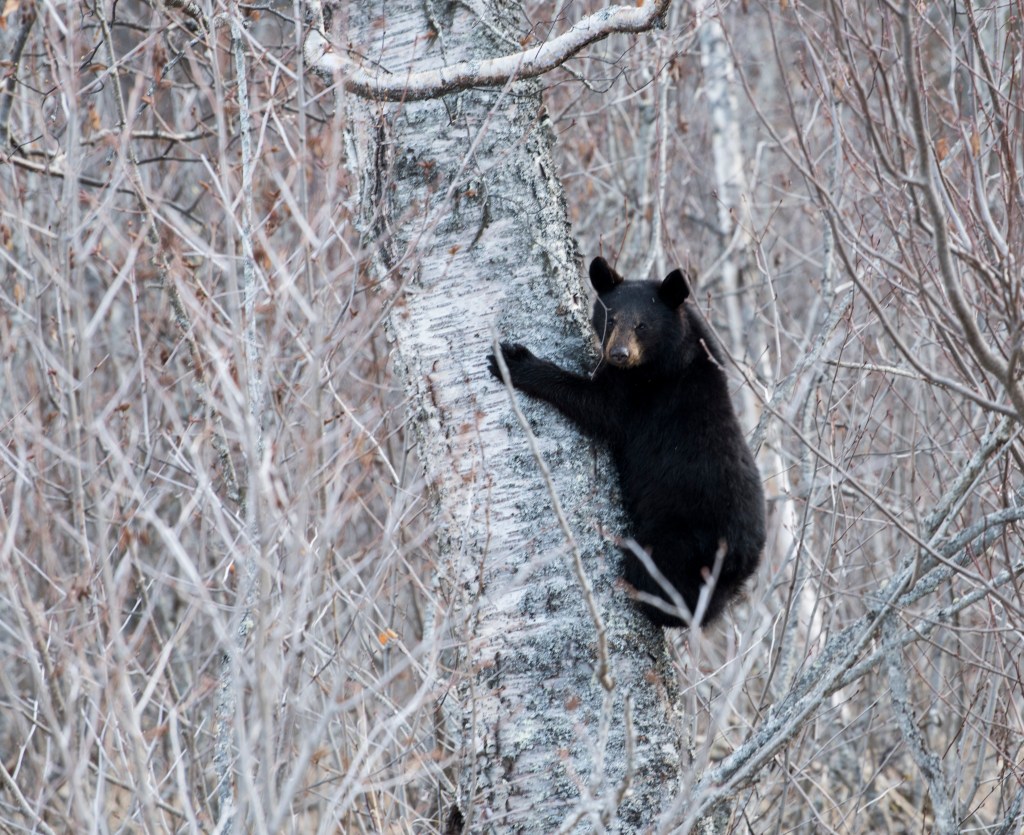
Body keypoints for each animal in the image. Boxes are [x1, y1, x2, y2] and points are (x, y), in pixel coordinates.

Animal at [488, 256, 766, 628]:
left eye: (642, 325)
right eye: (611, 318)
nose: (619, 353)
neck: (671, 356)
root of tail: (744, 559)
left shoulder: (642, 395)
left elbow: (599, 408)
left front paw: (515, 361)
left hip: (678, 539)